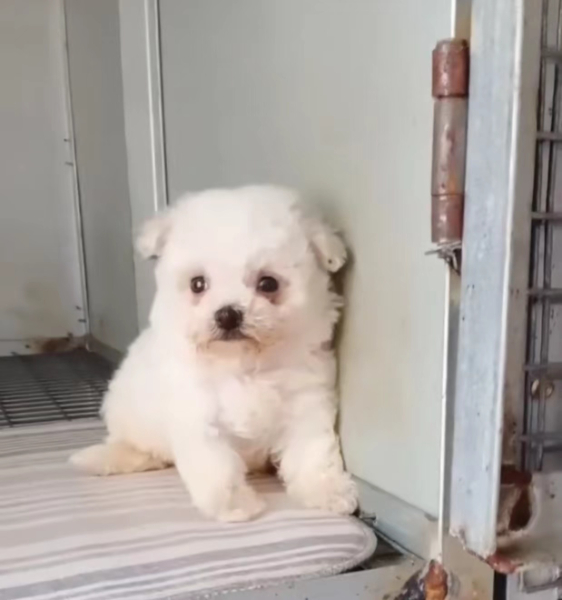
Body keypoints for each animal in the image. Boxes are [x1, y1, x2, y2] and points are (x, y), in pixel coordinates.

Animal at [71, 186, 358, 522]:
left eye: (268, 283)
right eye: (198, 284)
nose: (228, 315)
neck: (243, 364)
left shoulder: (305, 401)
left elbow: (313, 450)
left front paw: (327, 491)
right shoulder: (197, 412)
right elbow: (216, 464)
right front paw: (234, 504)